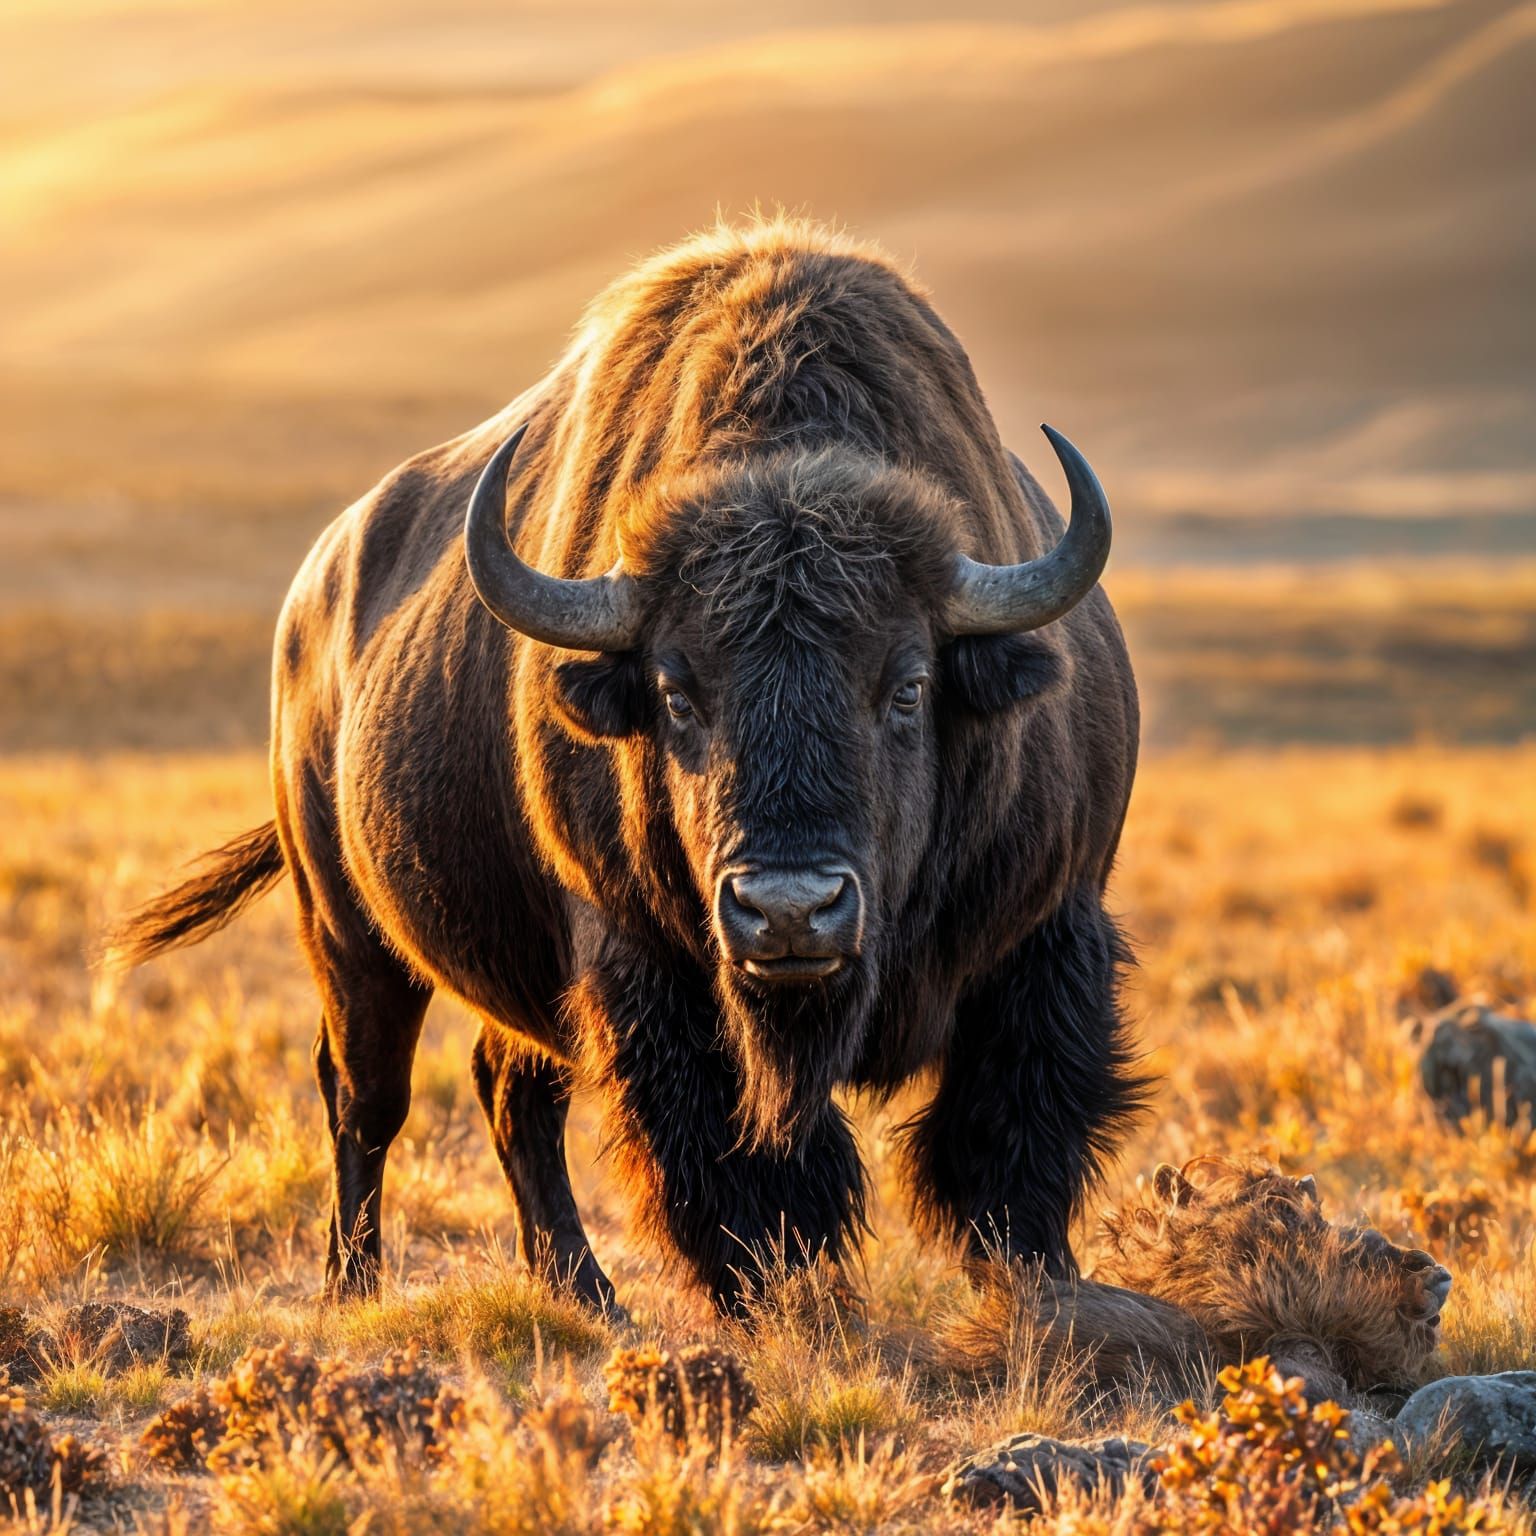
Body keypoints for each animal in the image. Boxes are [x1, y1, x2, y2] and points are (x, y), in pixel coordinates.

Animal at [111, 219, 1145, 1312]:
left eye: (907, 686)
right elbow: (729, 1156)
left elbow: (1008, 1141)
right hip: (347, 931)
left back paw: (582, 1290)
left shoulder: (1045, 932)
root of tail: (311, 597)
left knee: (507, 1090)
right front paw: (772, 1293)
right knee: (367, 1098)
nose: (788, 911)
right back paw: (357, 1287)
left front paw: (1038, 1285)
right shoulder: (644, 962)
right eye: (677, 693)